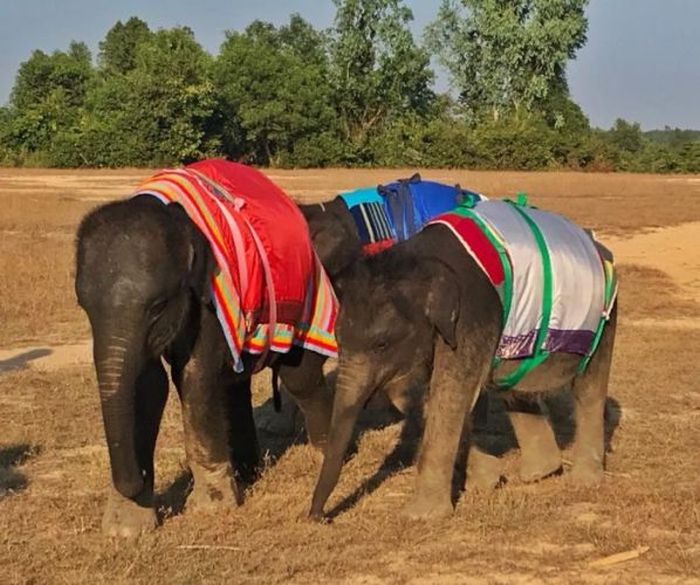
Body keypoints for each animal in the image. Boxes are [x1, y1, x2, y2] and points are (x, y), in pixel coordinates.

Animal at [308, 198, 616, 516]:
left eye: (381, 344)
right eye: (338, 339)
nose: (319, 516)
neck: (418, 257)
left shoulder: (471, 315)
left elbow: (451, 392)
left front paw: (422, 515)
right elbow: (435, 393)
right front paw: (488, 479)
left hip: (606, 318)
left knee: (588, 389)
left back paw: (583, 480)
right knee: (512, 385)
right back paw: (540, 472)